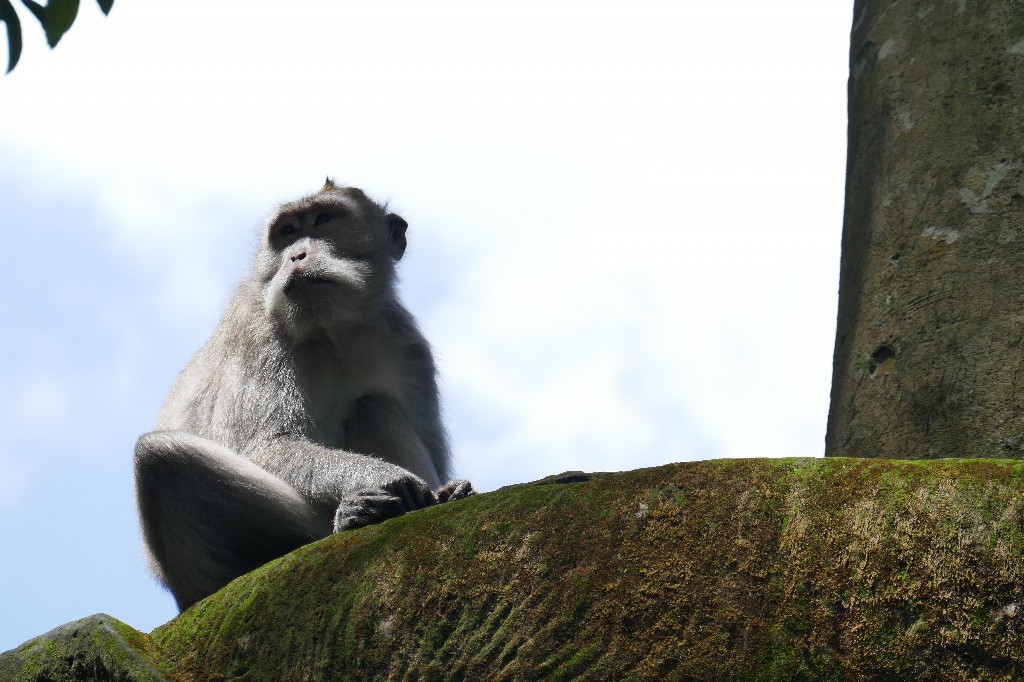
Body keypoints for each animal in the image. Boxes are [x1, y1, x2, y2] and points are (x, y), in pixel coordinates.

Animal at [134, 180, 474, 612]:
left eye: (324, 219)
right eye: (287, 232)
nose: (296, 255)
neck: (330, 328)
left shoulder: (406, 344)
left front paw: (448, 492)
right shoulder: (258, 327)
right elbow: (268, 446)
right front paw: (388, 478)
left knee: (374, 404)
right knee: (161, 457)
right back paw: (354, 516)